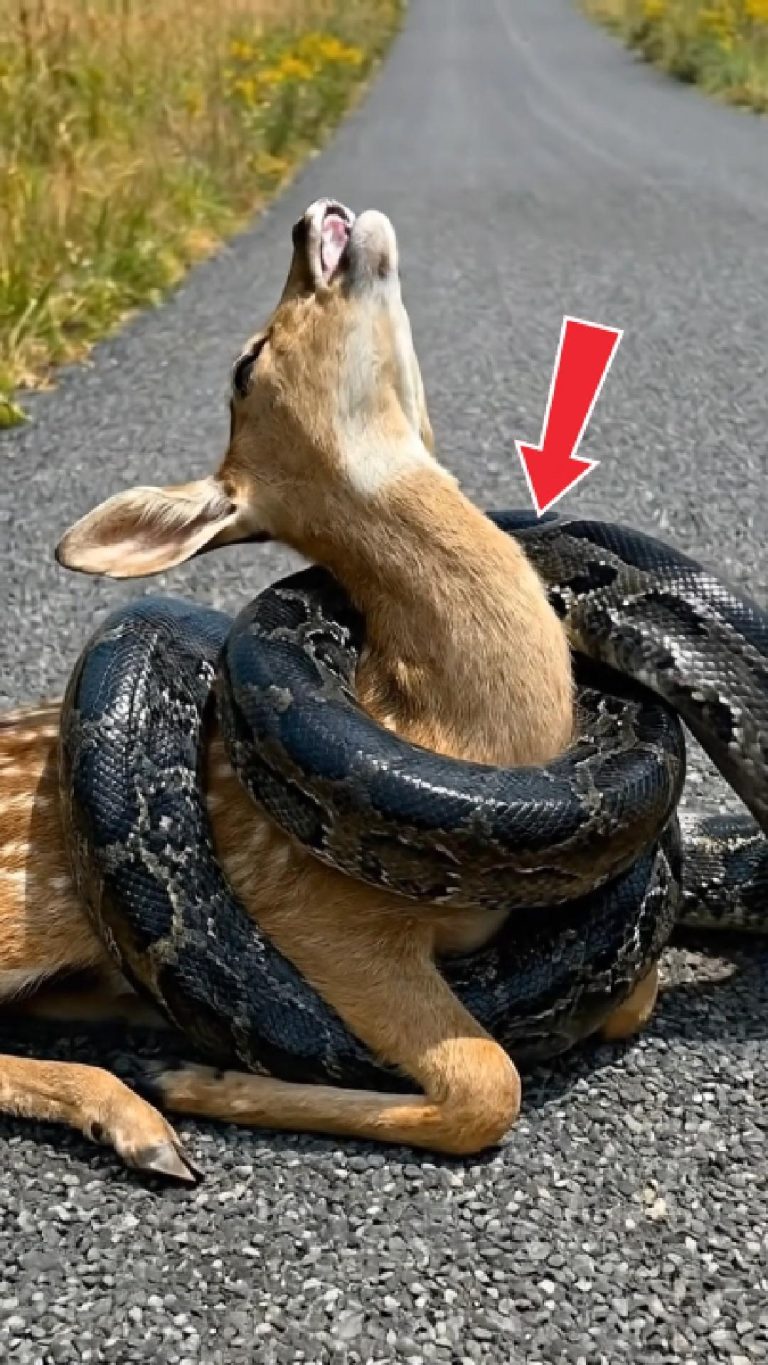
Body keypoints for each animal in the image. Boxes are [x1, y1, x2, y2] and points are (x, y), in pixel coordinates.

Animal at [0, 200, 657, 1181]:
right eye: (246, 362)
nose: (311, 218)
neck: (465, 732)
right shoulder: (325, 918)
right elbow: (487, 1084)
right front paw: (198, 1081)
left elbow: (630, 1001)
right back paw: (140, 1114)